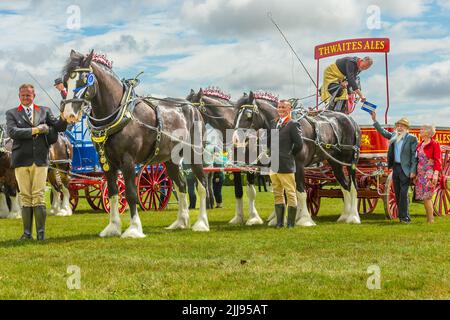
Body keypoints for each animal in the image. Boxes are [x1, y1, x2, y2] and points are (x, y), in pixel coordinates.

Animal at [60, 50, 210, 238]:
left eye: (83, 80)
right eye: (66, 81)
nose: (68, 114)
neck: (119, 114)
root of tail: (193, 107)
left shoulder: (128, 161)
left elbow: (131, 193)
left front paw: (134, 229)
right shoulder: (106, 162)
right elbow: (113, 193)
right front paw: (113, 227)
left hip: (195, 153)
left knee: (202, 185)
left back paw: (201, 223)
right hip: (170, 159)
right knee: (181, 185)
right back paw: (180, 222)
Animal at [186, 87, 264, 225]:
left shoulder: (250, 165)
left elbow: (251, 191)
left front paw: (253, 218)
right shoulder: (236, 166)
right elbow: (238, 191)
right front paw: (238, 218)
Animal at [234, 90, 360, 225]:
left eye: (248, 115)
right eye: (237, 114)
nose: (235, 139)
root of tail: (350, 120)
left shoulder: (299, 165)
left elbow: (300, 192)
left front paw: (304, 219)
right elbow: (285, 192)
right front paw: (281, 220)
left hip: (351, 162)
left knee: (353, 187)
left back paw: (353, 216)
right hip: (335, 162)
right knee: (345, 186)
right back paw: (345, 216)